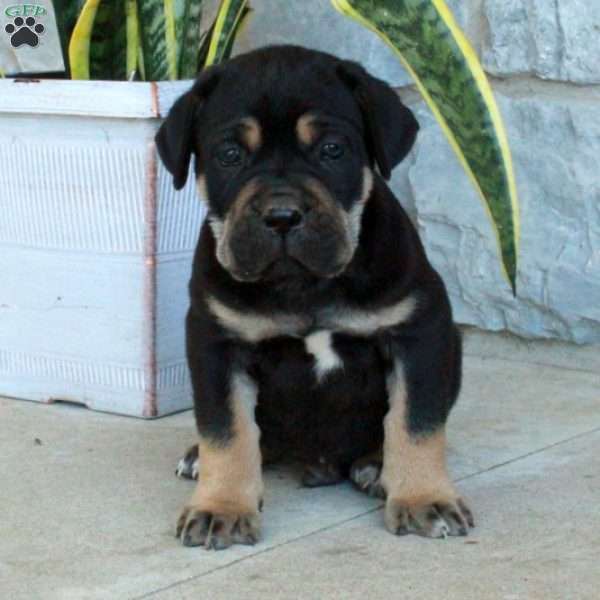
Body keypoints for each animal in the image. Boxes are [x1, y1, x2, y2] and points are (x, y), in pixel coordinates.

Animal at [156, 44, 474, 552]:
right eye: (229, 155)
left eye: (332, 150)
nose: (282, 215)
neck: (304, 285)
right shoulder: (216, 342)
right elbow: (227, 429)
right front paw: (221, 506)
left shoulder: (419, 332)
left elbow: (415, 421)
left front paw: (425, 498)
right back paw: (198, 457)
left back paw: (376, 465)